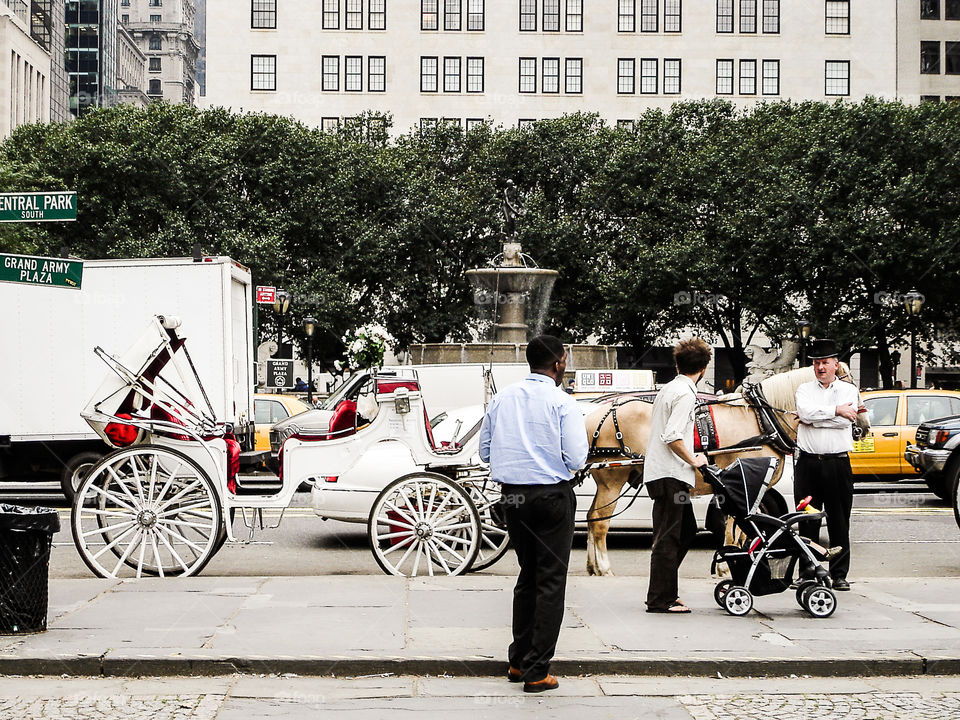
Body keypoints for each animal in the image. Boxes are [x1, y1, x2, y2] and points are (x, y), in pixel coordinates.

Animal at [576, 362, 872, 576]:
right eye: (848, 387)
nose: (864, 427)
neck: (760, 418)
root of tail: (593, 415)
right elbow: (736, 523)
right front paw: (728, 565)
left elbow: (743, 525)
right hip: (613, 480)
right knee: (599, 521)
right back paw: (604, 568)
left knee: (591, 517)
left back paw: (592, 566)